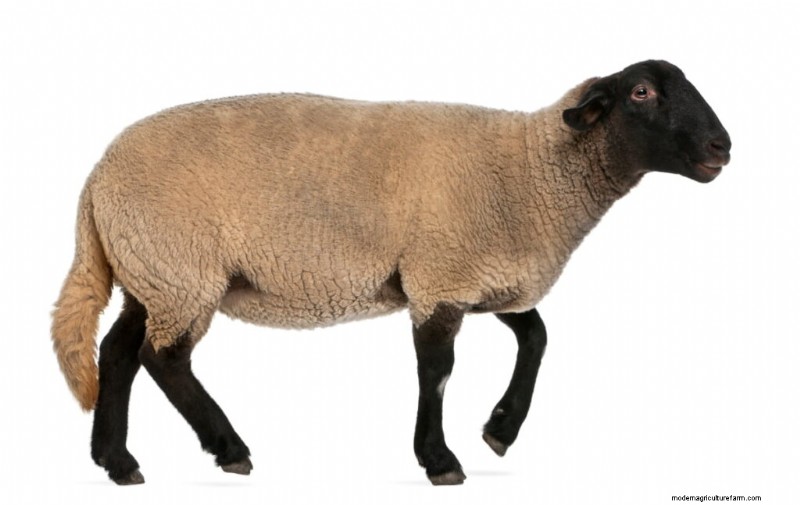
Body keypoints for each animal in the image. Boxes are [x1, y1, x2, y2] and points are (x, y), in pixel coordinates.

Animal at [51, 59, 731, 486]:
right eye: (641, 93)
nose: (722, 147)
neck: (532, 170)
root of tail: (95, 181)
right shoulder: (439, 277)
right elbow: (437, 371)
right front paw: (439, 459)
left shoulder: (485, 277)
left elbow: (536, 337)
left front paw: (500, 431)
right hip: (182, 270)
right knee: (162, 359)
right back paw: (229, 449)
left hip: (152, 272)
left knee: (117, 352)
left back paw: (116, 461)